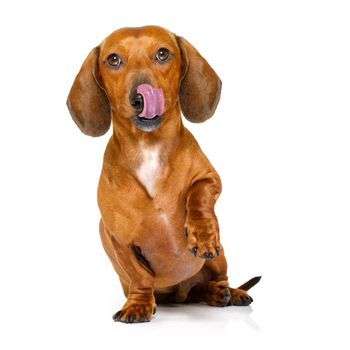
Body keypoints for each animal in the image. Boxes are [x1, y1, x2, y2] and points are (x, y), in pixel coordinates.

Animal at [67, 26, 260, 324]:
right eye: (113, 59)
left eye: (162, 53)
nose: (140, 98)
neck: (149, 147)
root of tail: (181, 293)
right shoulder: (117, 239)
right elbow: (140, 276)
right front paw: (138, 305)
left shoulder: (210, 178)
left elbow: (199, 196)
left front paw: (202, 233)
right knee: (193, 291)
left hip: (220, 258)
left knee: (220, 278)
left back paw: (227, 293)